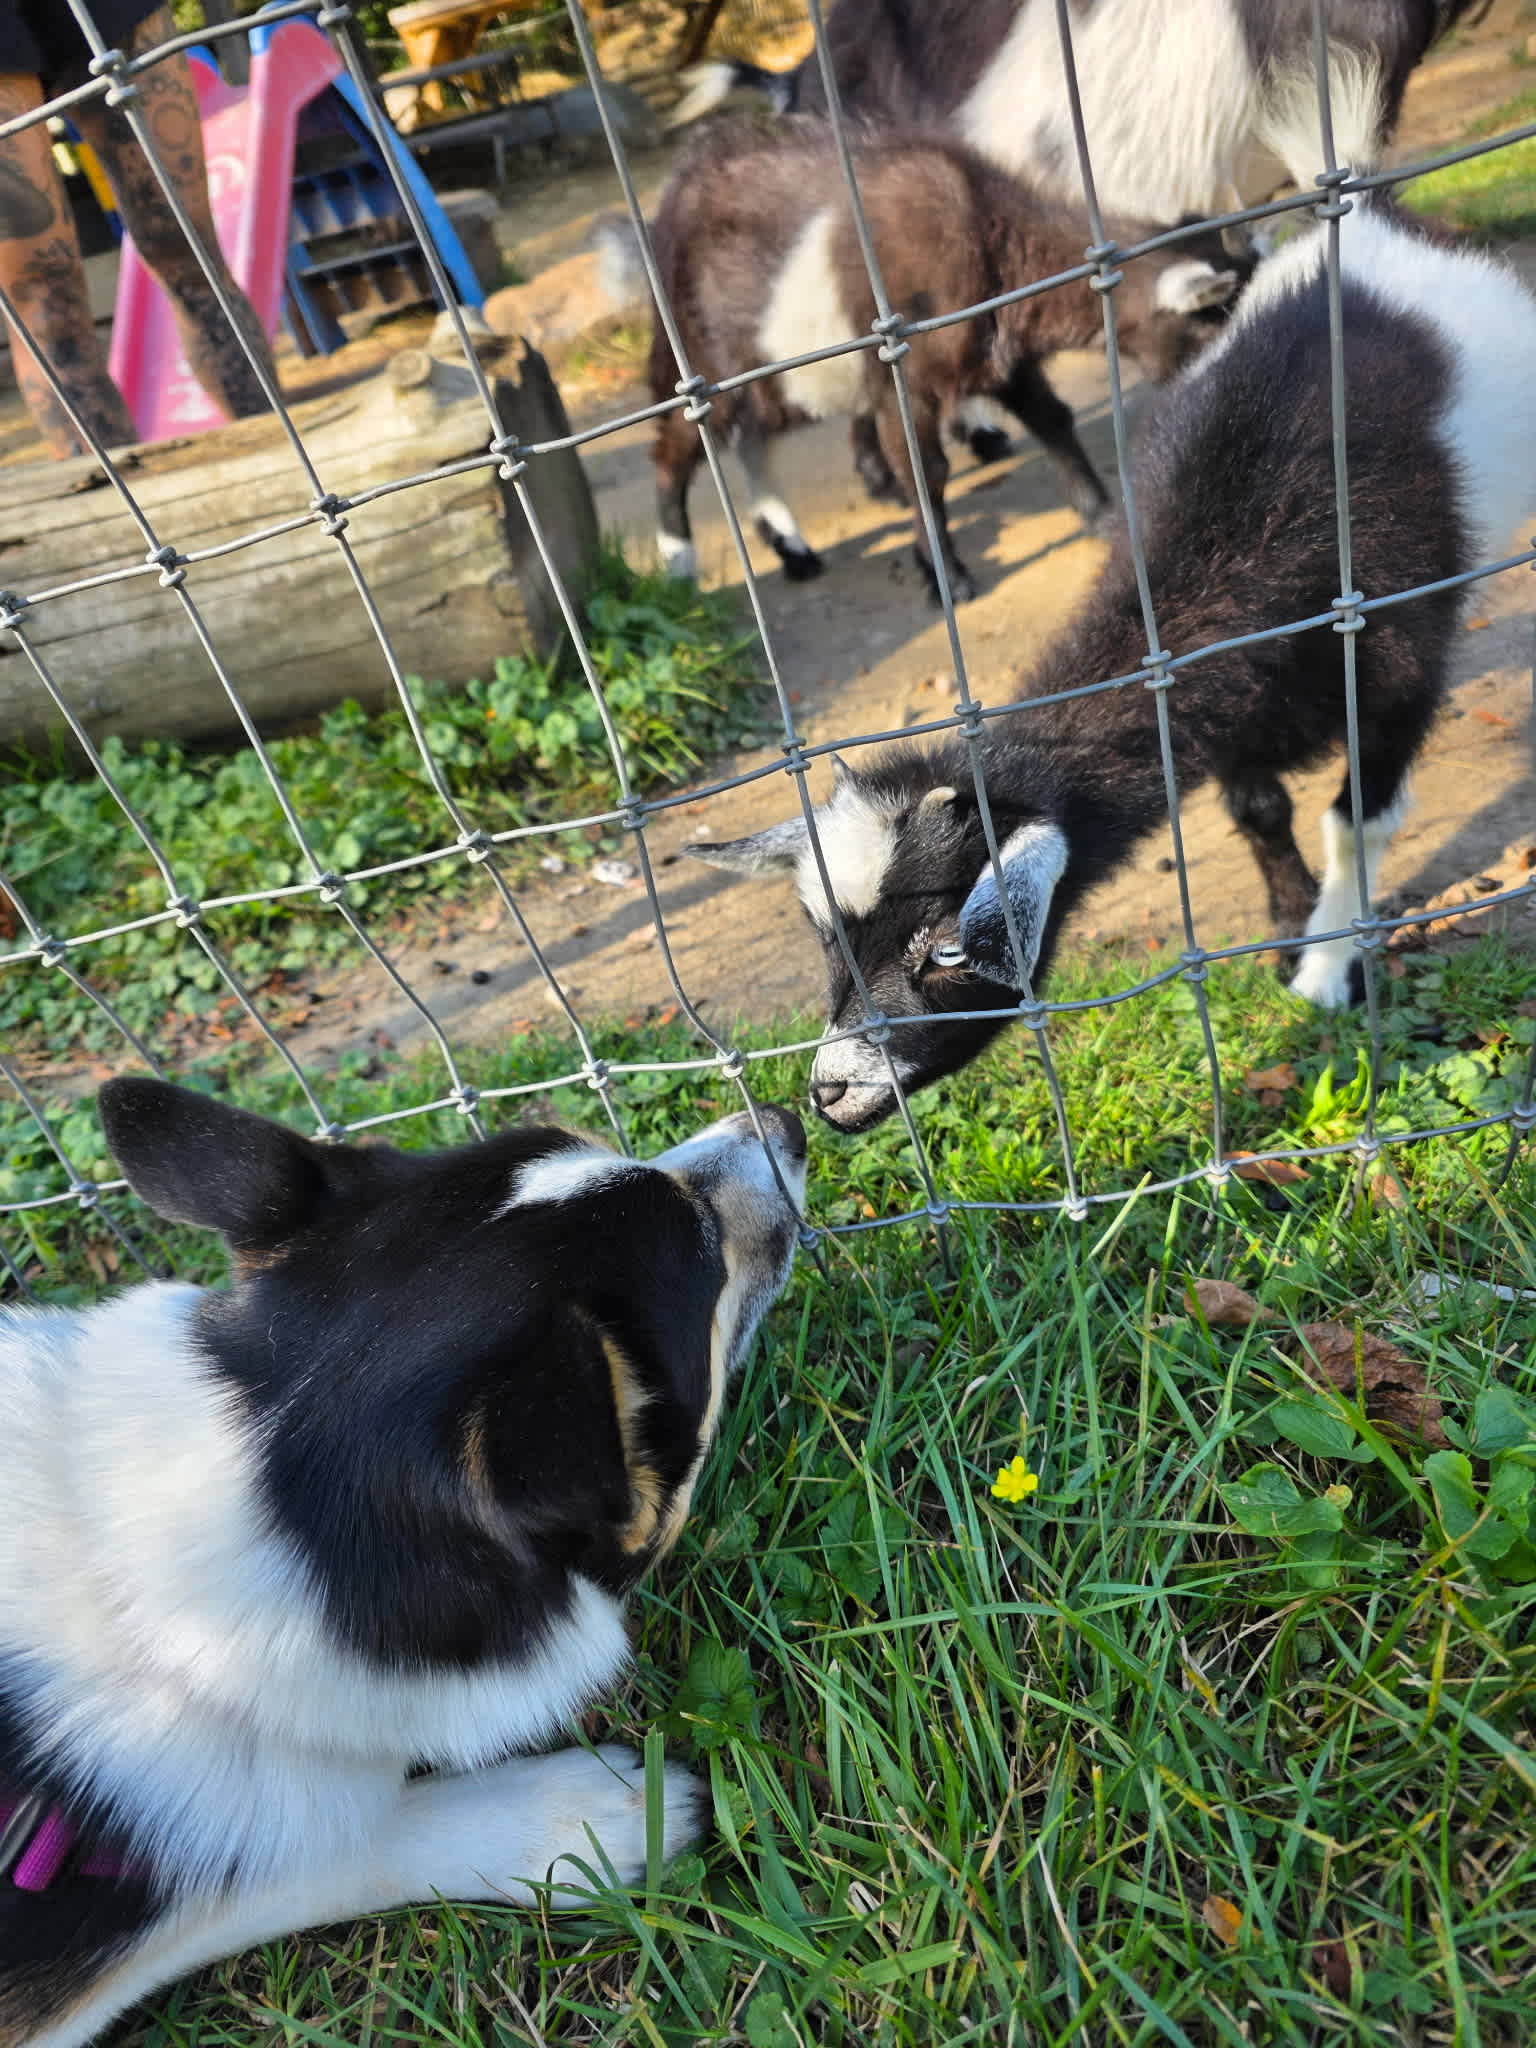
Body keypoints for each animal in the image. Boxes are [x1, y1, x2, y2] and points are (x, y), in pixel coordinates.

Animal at [638, 117, 1246, 602]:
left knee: (753, 439)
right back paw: (679, 559)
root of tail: (671, 205)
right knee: (679, 443)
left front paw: (1104, 516)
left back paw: (792, 546)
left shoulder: (1001, 358)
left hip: (772, 376)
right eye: (1210, 322)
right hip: (708, 360)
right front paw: (946, 578)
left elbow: (1053, 419)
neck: (989, 238)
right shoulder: (902, 383)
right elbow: (926, 474)